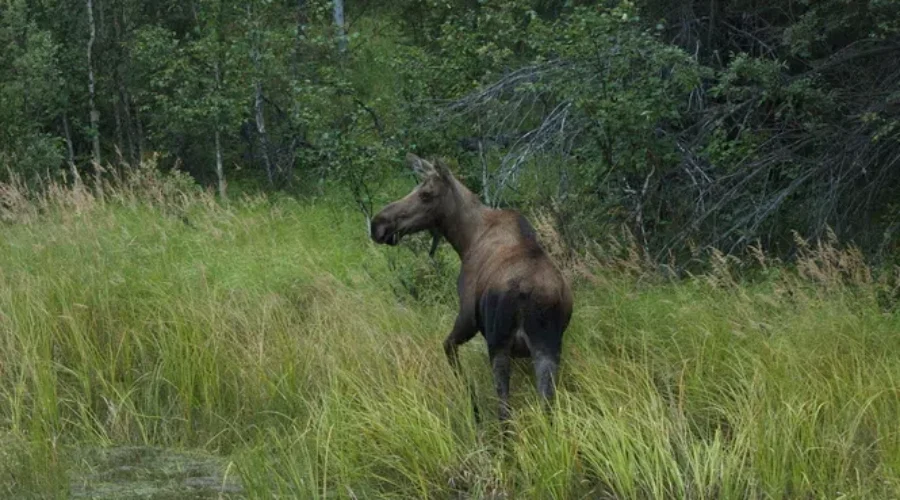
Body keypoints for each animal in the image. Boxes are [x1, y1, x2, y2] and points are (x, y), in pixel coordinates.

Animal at [370, 153, 573, 423]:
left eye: (426, 193)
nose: (377, 224)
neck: (465, 239)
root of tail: (528, 294)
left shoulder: (467, 317)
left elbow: (449, 350)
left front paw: (473, 410)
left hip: (499, 345)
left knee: (504, 410)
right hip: (547, 348)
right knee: (547, 408)